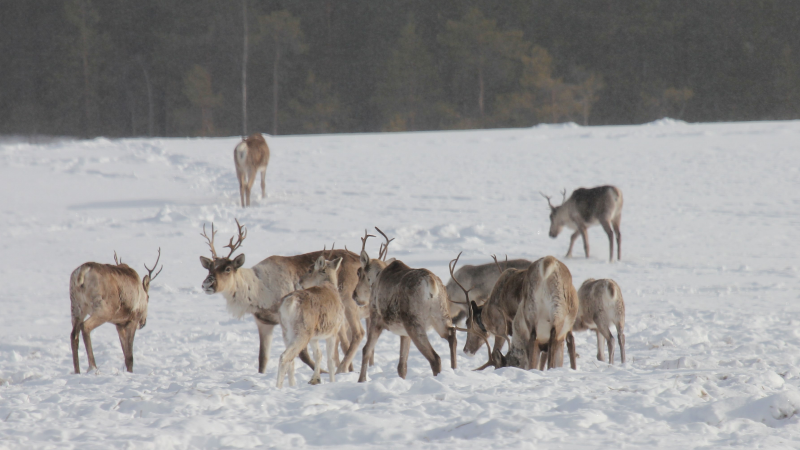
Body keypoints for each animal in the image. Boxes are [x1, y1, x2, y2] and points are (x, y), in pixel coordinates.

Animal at [276, 255, 346, 388]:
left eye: (310, 270)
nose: (300, 281)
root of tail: (289, 302)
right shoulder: (333, 332)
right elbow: (330, 361)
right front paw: (332, 381)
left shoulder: (315, 337)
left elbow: (318, 355)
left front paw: (315, 380)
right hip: (303, 332)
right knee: (284, 356)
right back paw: (278, 387)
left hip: (286, 332)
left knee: (291, 361)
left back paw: (292, 386)